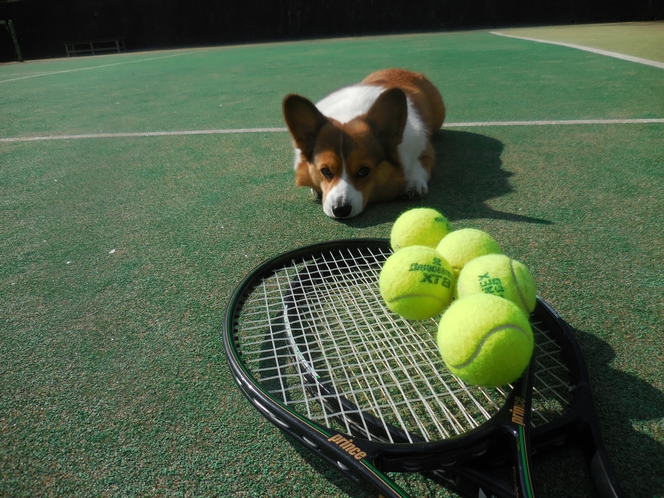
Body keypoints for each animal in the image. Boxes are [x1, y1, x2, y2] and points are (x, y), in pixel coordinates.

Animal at [282, 68, 444, 218]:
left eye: (364, 171)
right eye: (326, 171)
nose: (340, 210)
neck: (348, 114)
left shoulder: (425, 149)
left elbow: (419, 165)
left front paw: (414, 184)